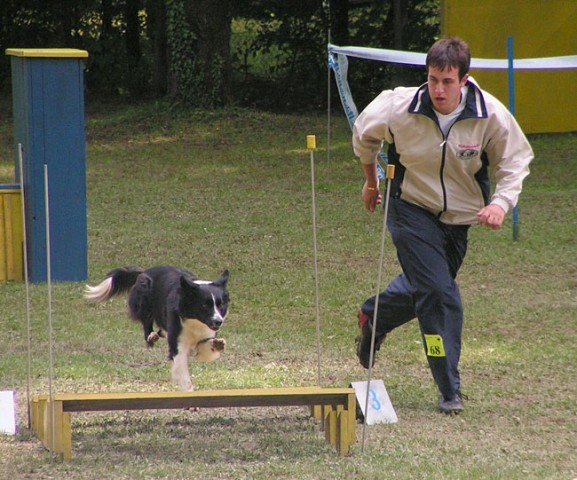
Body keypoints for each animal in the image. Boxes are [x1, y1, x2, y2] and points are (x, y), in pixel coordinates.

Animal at [85, 266, 230, 390]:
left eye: (220, 305)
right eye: (204, 305)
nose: (218, 322)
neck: (195, 321)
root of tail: (144, 271)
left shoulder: (205, 335)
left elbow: (207, 349)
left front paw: (217, 344)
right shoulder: (177, 343)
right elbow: (182, 371)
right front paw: (187, 390)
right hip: (144, 300)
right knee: (146, 324)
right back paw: (151, 337)